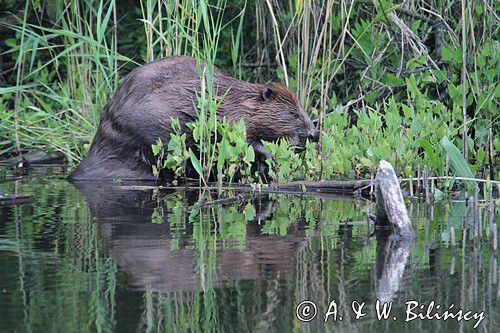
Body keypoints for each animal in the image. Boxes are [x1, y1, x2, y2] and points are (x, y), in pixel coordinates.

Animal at [71, 56, 318, 182]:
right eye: (293, 114)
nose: (314, 134)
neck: (238, 98)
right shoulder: (230, 118)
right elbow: (241, 140)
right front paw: (270, 157)